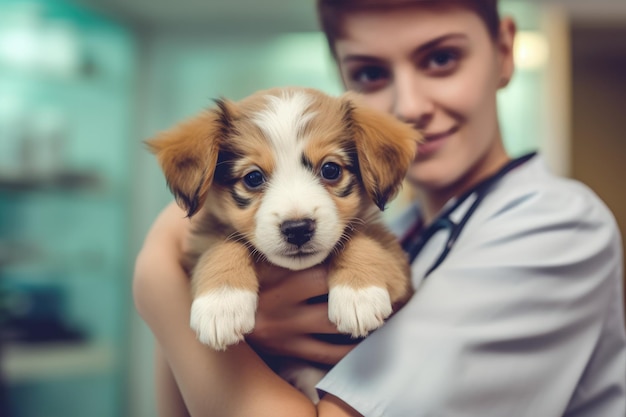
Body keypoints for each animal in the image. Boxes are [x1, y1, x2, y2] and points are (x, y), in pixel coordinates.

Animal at [148, 86, 416, 388]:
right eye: (253, 177)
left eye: (331, 170)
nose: (297, 228)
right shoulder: (198, 246)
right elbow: (225, 244)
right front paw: (222, 303)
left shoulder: (401, 272)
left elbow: (361, 239)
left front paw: (358, 295)